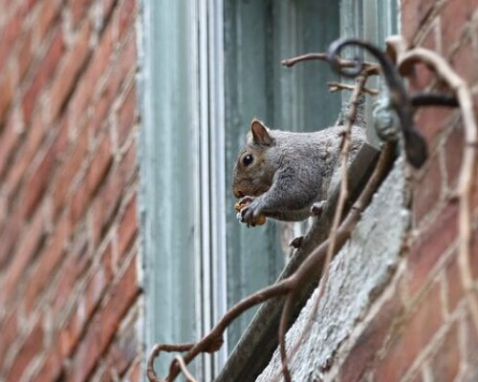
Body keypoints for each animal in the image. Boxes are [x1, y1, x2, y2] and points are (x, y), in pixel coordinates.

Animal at [232, 119, 366, 227]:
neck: (281, 150)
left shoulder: (300, 164)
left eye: (247, 159)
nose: (237, 192)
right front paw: (249, 201)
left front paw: (256, 204)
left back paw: (322, 205)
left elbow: (294, 191)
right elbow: (296, 212)